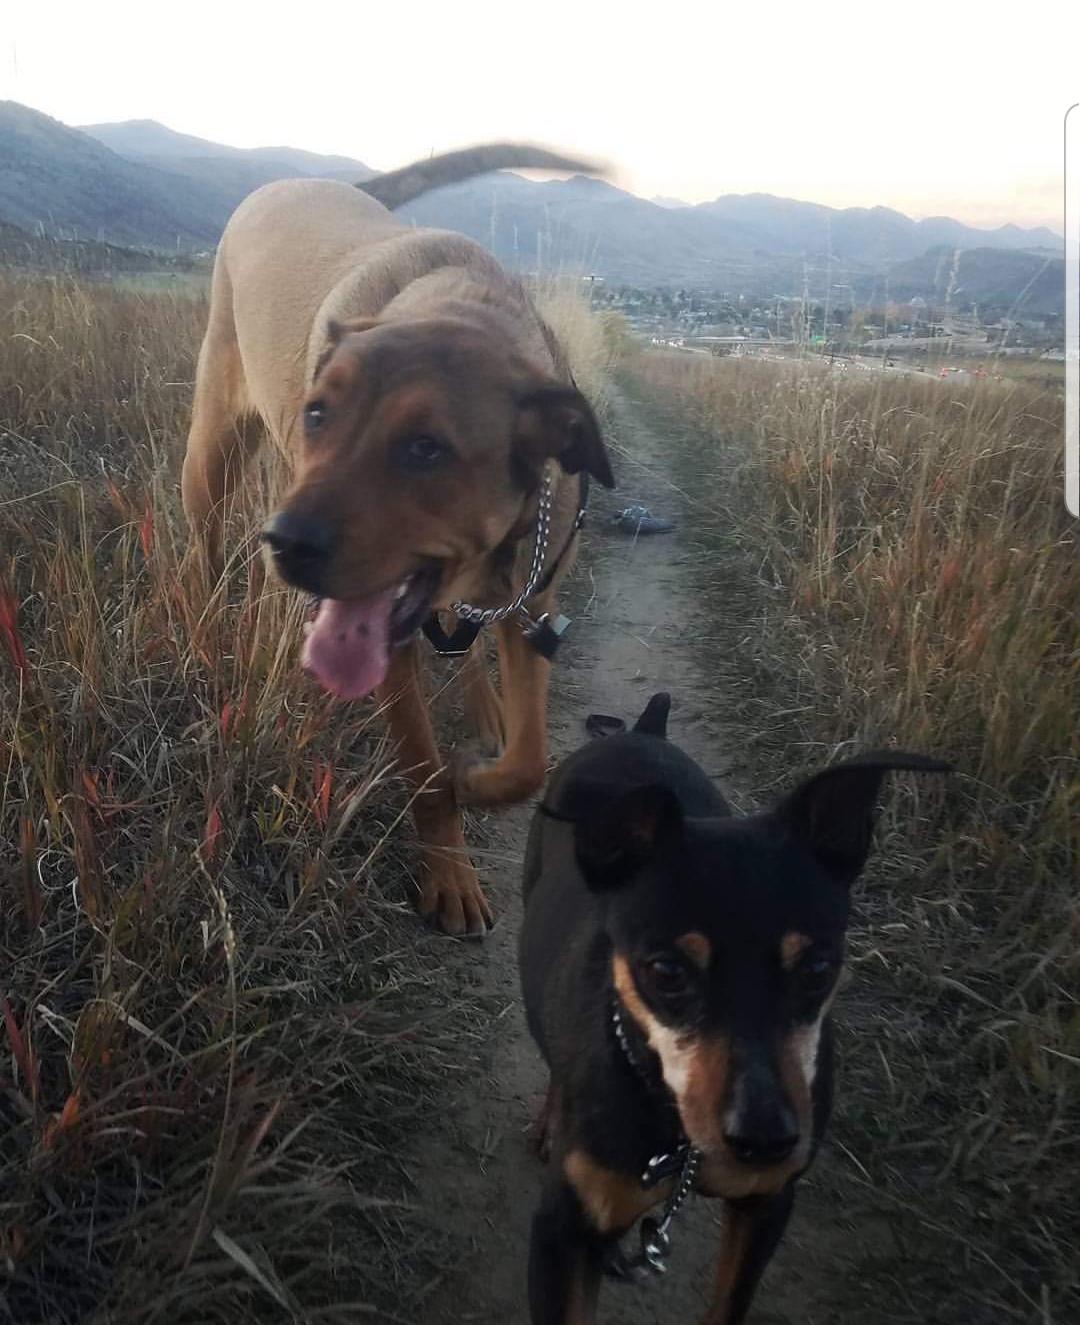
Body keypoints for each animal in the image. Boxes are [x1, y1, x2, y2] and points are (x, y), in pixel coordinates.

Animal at [181, 144, 616, 936]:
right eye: (317, 414)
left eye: (425, 448)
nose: (284, 543)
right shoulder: (382, 645)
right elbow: (423, 767)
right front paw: (449, 869)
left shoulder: (532, 607)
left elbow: (529, 761)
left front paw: (482, 773)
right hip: (213, 452)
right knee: (201, 545)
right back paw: (201, 630)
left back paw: (484, 706)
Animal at [519, 694, 950, 1323]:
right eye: (667, 971)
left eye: (818, 967)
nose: (764, 1139)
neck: (677, 1142)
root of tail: (642, 731)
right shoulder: (562, 1235)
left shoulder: (766, 1205)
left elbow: (730, 1303)